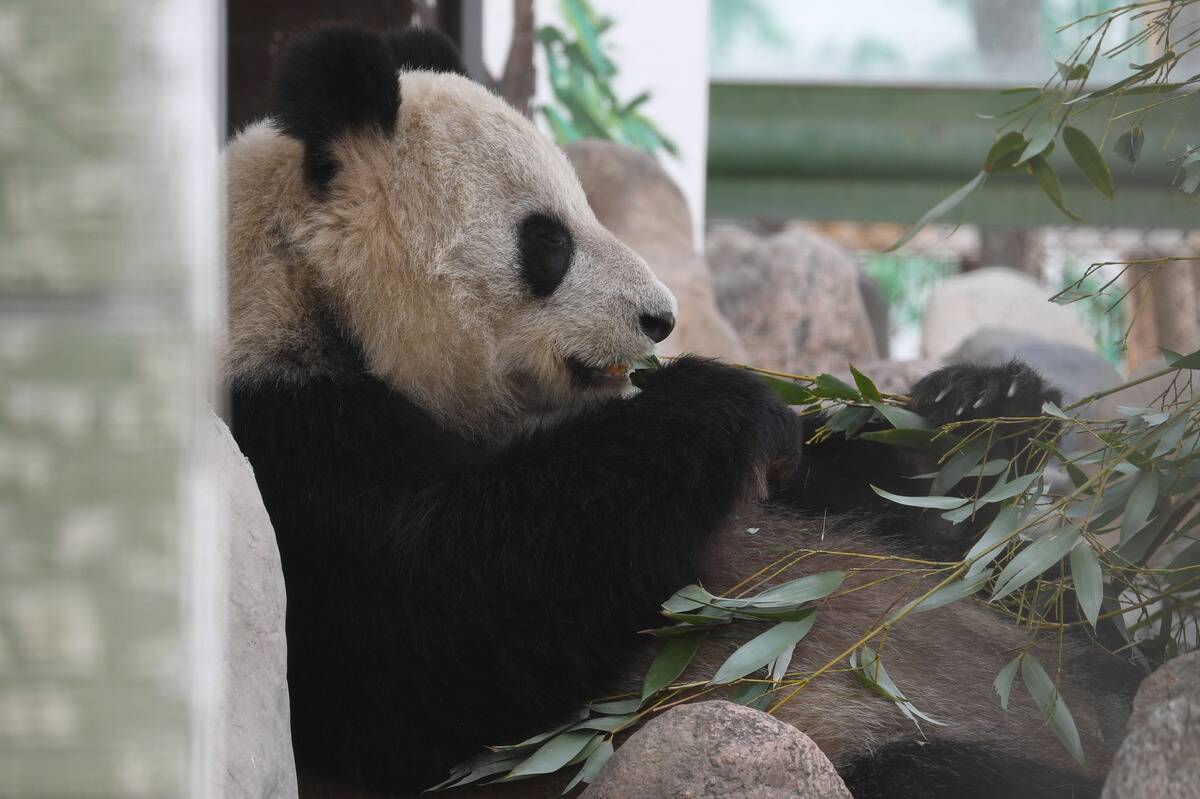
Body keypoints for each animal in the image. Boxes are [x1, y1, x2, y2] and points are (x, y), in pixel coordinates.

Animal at [224, 25, 1138, 799]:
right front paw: (723, 401)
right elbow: (440, 631)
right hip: (846, 739)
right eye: (548, 240)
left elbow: (867, 482)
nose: (660, 319)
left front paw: (982, 411)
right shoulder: (290, 453)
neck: (311, 296)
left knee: (1057, 595)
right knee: (942, 770)